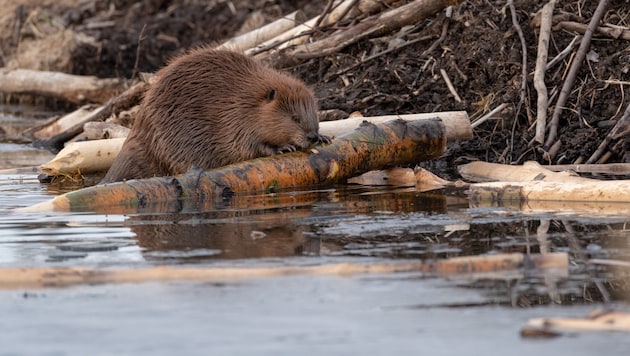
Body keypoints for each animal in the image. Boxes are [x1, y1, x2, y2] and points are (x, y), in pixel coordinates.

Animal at [102, 47, 330, 184]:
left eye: (314, 114)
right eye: (295, 117)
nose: (311, 136)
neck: (250, 100)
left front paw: (324, 137)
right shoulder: (237, 119)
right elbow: (249, 146)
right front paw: (283, 147)